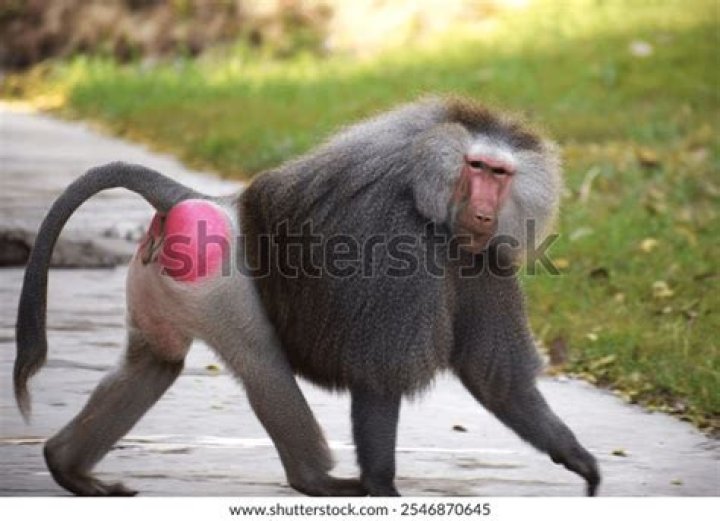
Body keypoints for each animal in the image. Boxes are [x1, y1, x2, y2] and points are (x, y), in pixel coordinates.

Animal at [15, 96, 600, 497]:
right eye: (476, 169)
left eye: (500, 175)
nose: (483, 211)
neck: (433, 208)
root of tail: (199, 199)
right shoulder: (394, 240)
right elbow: (378, 376)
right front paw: (382, 488)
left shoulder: (486, 262)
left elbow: (497, 380)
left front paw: (577, 459)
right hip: (215, 282)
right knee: (262, 365)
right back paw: (314, 481)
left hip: (159, 281)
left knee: (154, 363)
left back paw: (68, 468)